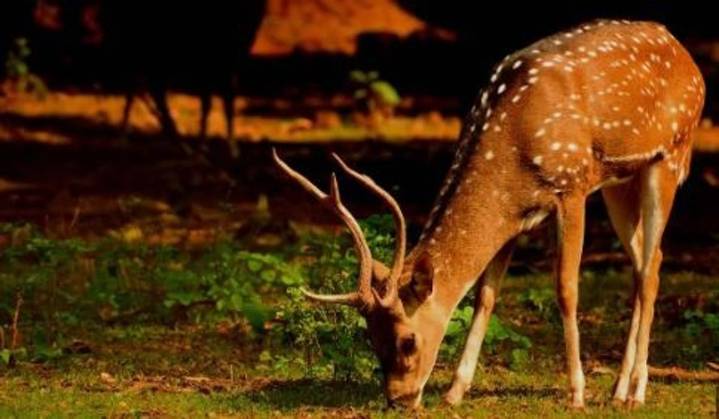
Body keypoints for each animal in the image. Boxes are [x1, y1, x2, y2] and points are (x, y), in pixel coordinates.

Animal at [273, 19, 705, 410]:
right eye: (371, 338)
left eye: (408, 340)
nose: (398, 399)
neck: (511, 155)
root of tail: (687, 56)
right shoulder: (516, 218)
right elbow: (485, 295)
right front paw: (454, 392)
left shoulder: (572, 185)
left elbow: (566, 289)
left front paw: (577, 394)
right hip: (620, 181)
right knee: (647, 263)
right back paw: (617, 390)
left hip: (670, 156)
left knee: (650, 271)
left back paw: (636, 391)